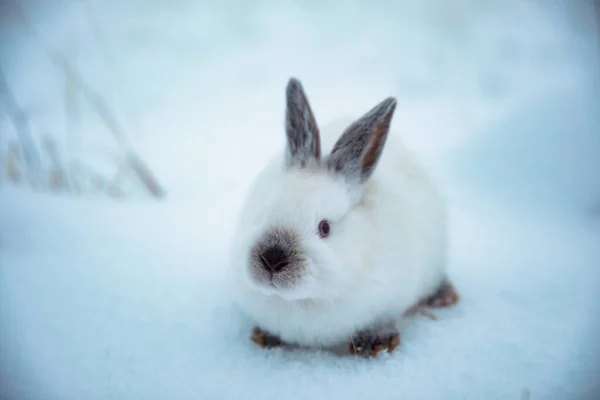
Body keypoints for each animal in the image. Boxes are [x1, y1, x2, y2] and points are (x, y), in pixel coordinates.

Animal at [230, 77, 460, 356]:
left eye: (324, 228)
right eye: (264, 211)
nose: (272, 260)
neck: (305, 300)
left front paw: (374, 343)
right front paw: (265, 337)